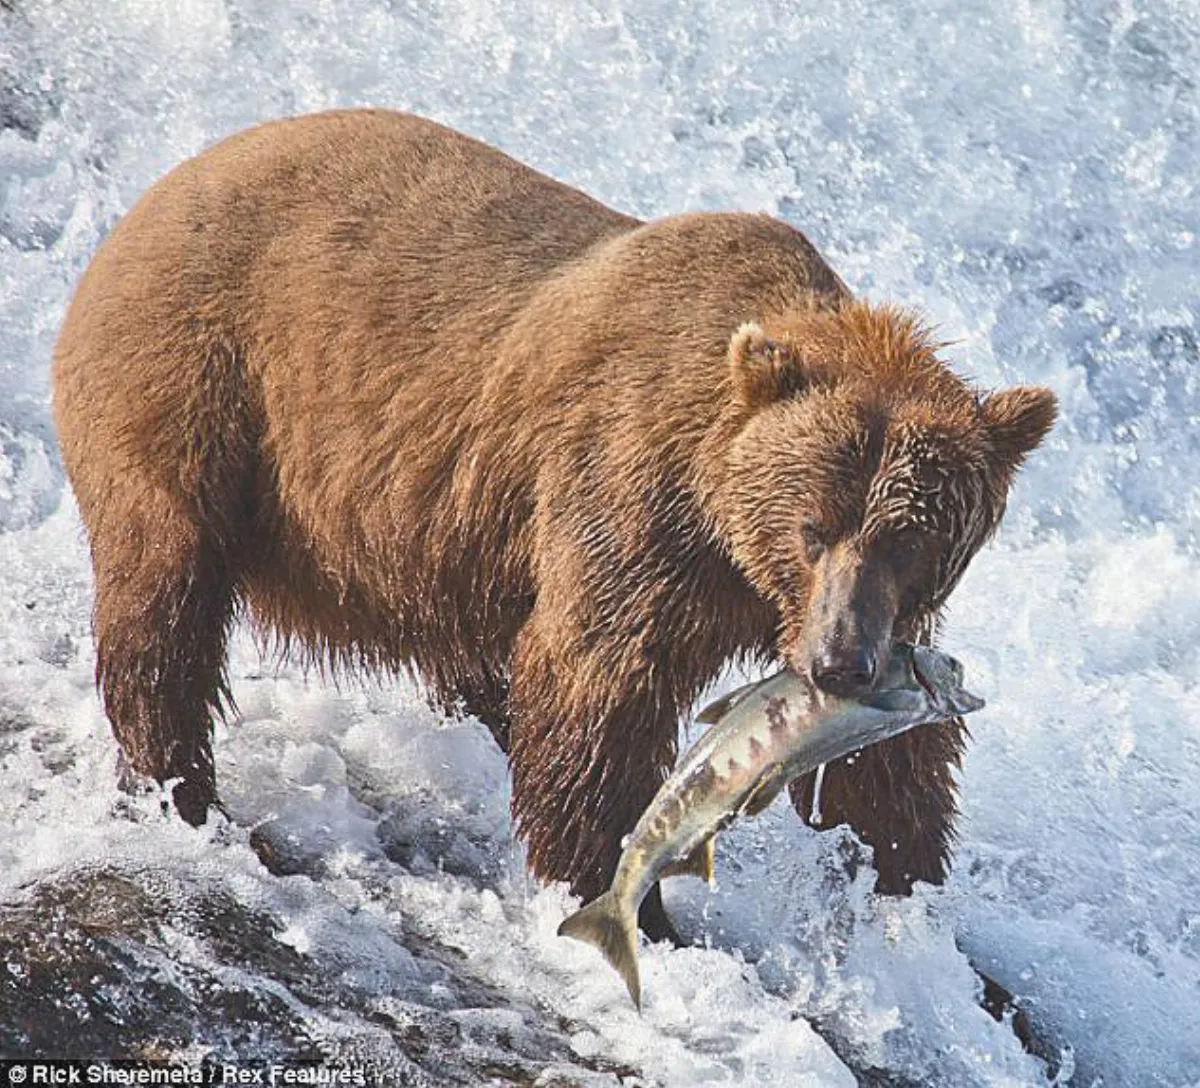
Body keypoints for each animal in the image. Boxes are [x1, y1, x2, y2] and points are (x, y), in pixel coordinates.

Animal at [53, 109, 1056, 940]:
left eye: (911, 538)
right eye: (812, 526)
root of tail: (164, 185)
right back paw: (180, 791)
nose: (839, 662)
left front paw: (911, 900)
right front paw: (629, 898)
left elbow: (888, 773)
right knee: (165, 602)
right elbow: (593, 687)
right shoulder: (626, 499)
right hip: (198, 391)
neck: (725, 535)